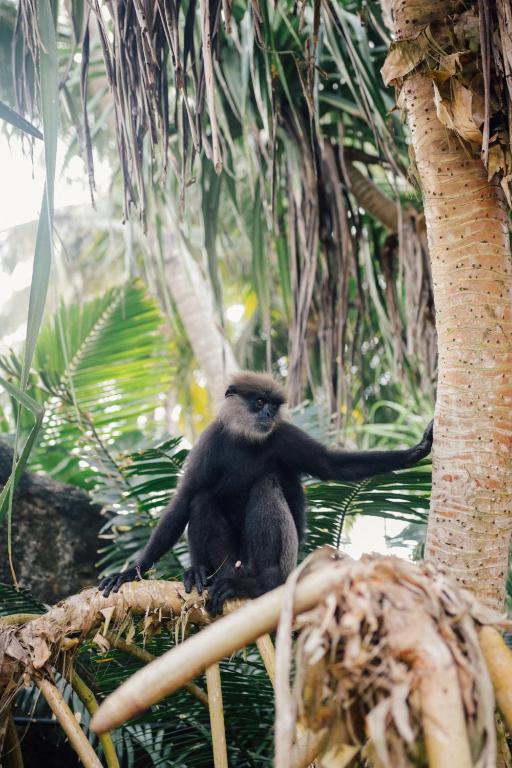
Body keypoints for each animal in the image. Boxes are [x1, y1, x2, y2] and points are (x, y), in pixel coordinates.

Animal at [99, 368, 432, 616]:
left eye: (273, 405)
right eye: (259, 402)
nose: (269, 414)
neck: (246, 440)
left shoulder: (284, 436)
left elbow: (331, 465)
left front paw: (415, 450)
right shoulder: (211, 441)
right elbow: (184, 498)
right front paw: (132, 571)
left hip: (280, 557)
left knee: (265, 486)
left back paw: (261, 584)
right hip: (230, 559)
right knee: (202, 499)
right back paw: (202, 573)